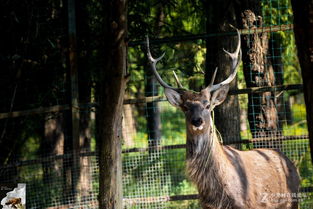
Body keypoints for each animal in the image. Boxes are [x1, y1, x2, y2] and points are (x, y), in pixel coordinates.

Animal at [145, 29, 298, 209]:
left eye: (207, 105)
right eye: (186, 107)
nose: (197, 121)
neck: (218, 192)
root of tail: (292, 164)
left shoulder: (247, 203)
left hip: (292, 201)